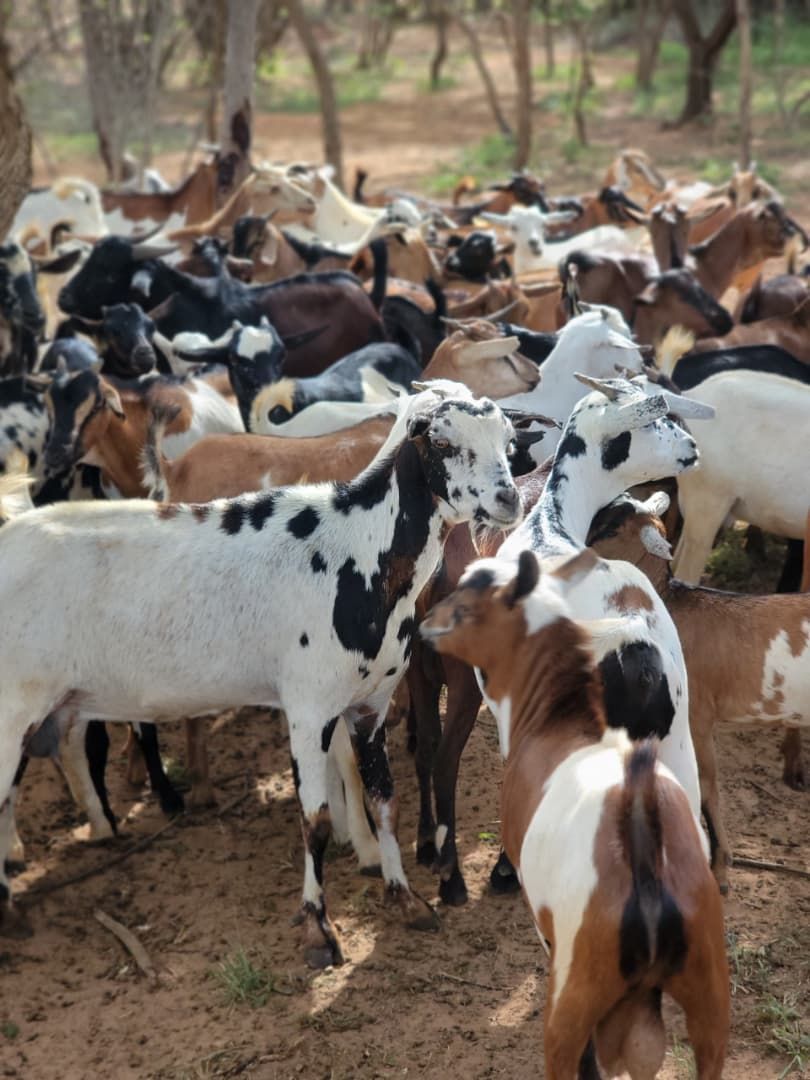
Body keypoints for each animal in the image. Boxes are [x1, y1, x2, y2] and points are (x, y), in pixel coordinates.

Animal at [0, 383, 520, 964]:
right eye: (442, 442)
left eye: (509, 441)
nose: (509, 500)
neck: (359, 548)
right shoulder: (309, 707)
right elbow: (315, 820)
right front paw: (318, 931)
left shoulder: (371, 703)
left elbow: (385, 802)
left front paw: (406, 898)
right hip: (13, 707)